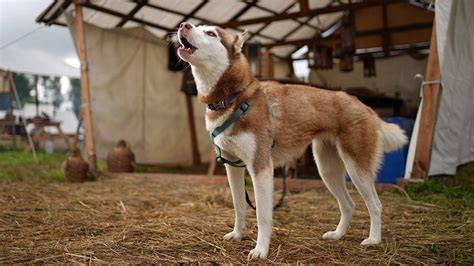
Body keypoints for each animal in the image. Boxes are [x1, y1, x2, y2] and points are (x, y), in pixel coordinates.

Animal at [177, 22, 408, 260]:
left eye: (211, 33)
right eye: (198, 26)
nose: (183, 25)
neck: (234, 97)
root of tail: (364, 105)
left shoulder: (261, 168)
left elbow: (262, 216)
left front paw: (261, 250)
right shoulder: (233, 167)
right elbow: (239, 206)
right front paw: (238, 234)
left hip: (356, 169)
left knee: (376, 205)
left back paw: (374, 240)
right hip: (327, 170)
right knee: (349, 205)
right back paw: (337, 235)